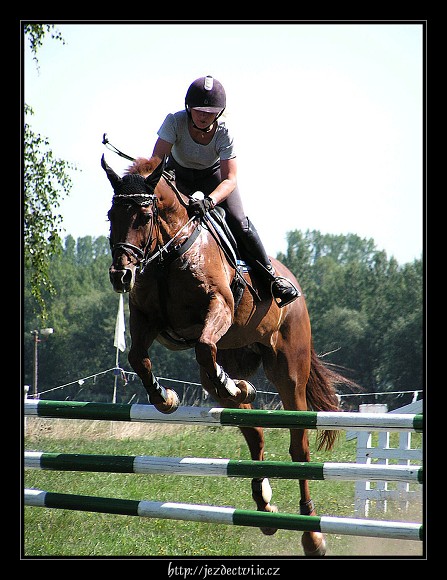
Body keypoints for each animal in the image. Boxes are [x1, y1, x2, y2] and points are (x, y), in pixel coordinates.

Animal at [103, 154, 352, 556]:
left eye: (144, 216)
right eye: (111, 215)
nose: (121, 276)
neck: (168, 256)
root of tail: (294, 281)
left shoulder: (218, 305)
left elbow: (203, 345)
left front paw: (224, 387)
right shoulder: (145, 317)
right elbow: (138, 357)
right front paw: (164, 397)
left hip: (289, 370)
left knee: (299, 446)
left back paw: (312, 534)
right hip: (236, 358)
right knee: (254, 432)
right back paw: (264, 503)